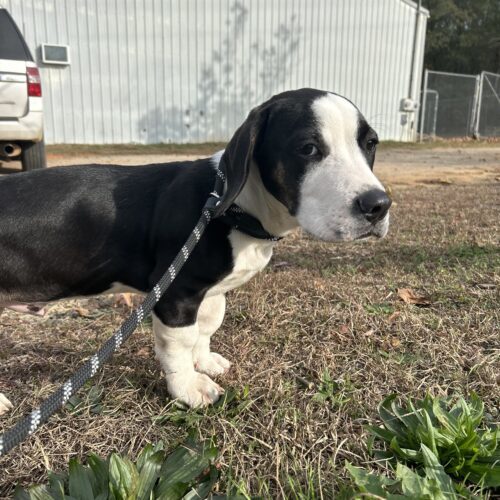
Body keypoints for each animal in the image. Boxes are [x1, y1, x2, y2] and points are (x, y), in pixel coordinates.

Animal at [0, 89, 390, 410]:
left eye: (371, 143)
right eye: (308, 148)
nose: (379, 205)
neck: (232, 207)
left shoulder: (208, 292)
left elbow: (206, 326)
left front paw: (205, 362)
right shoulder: (175, 294)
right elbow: (179, 344)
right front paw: (188, 388)